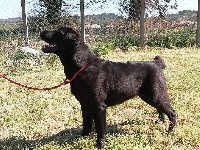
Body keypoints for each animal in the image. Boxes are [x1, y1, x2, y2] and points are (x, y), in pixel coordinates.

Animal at [39, 27, 176, 149]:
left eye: (58, 32)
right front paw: (83, 137)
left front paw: (100, 145)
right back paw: (161, 122)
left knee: (172, 112)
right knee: (161, 110)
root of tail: (156, 63)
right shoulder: (85, 105)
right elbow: (86, 124)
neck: (82, 66)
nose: (41, 31)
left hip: (156, 95)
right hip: (148, 96)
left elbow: (100, 128)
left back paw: (170, 131)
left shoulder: (98, 106)